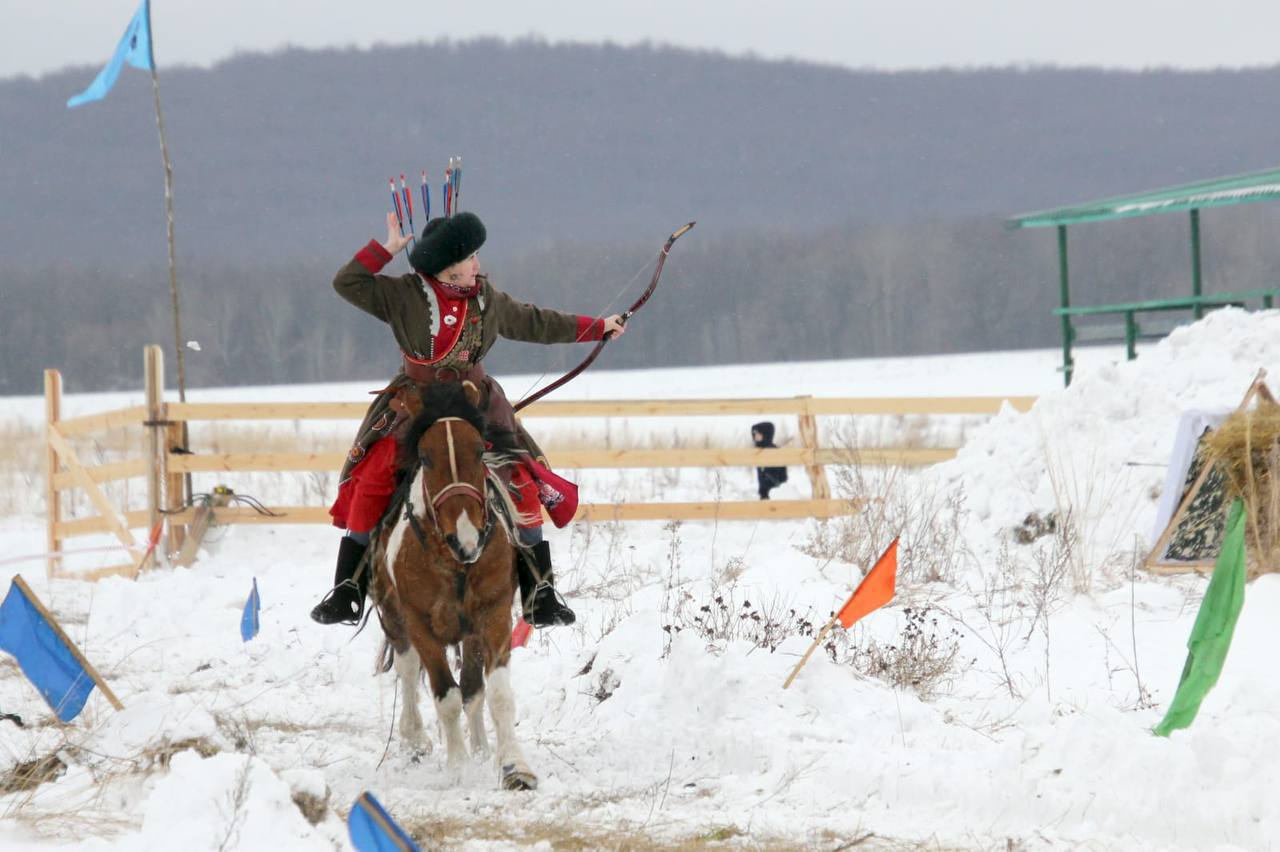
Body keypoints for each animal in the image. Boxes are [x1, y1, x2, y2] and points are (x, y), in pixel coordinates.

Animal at [368, 378, 537, 788]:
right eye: (426, 457)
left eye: (478, 449)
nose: (466, 537)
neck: (453, 562)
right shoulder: (421, 626)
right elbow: (445, 696)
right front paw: (458, 767)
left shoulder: (493, 618)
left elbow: (495, 693)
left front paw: (512, 766)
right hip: (394, 617)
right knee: (408, 669)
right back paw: (414, 740)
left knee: (473, 690)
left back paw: (481, 749)